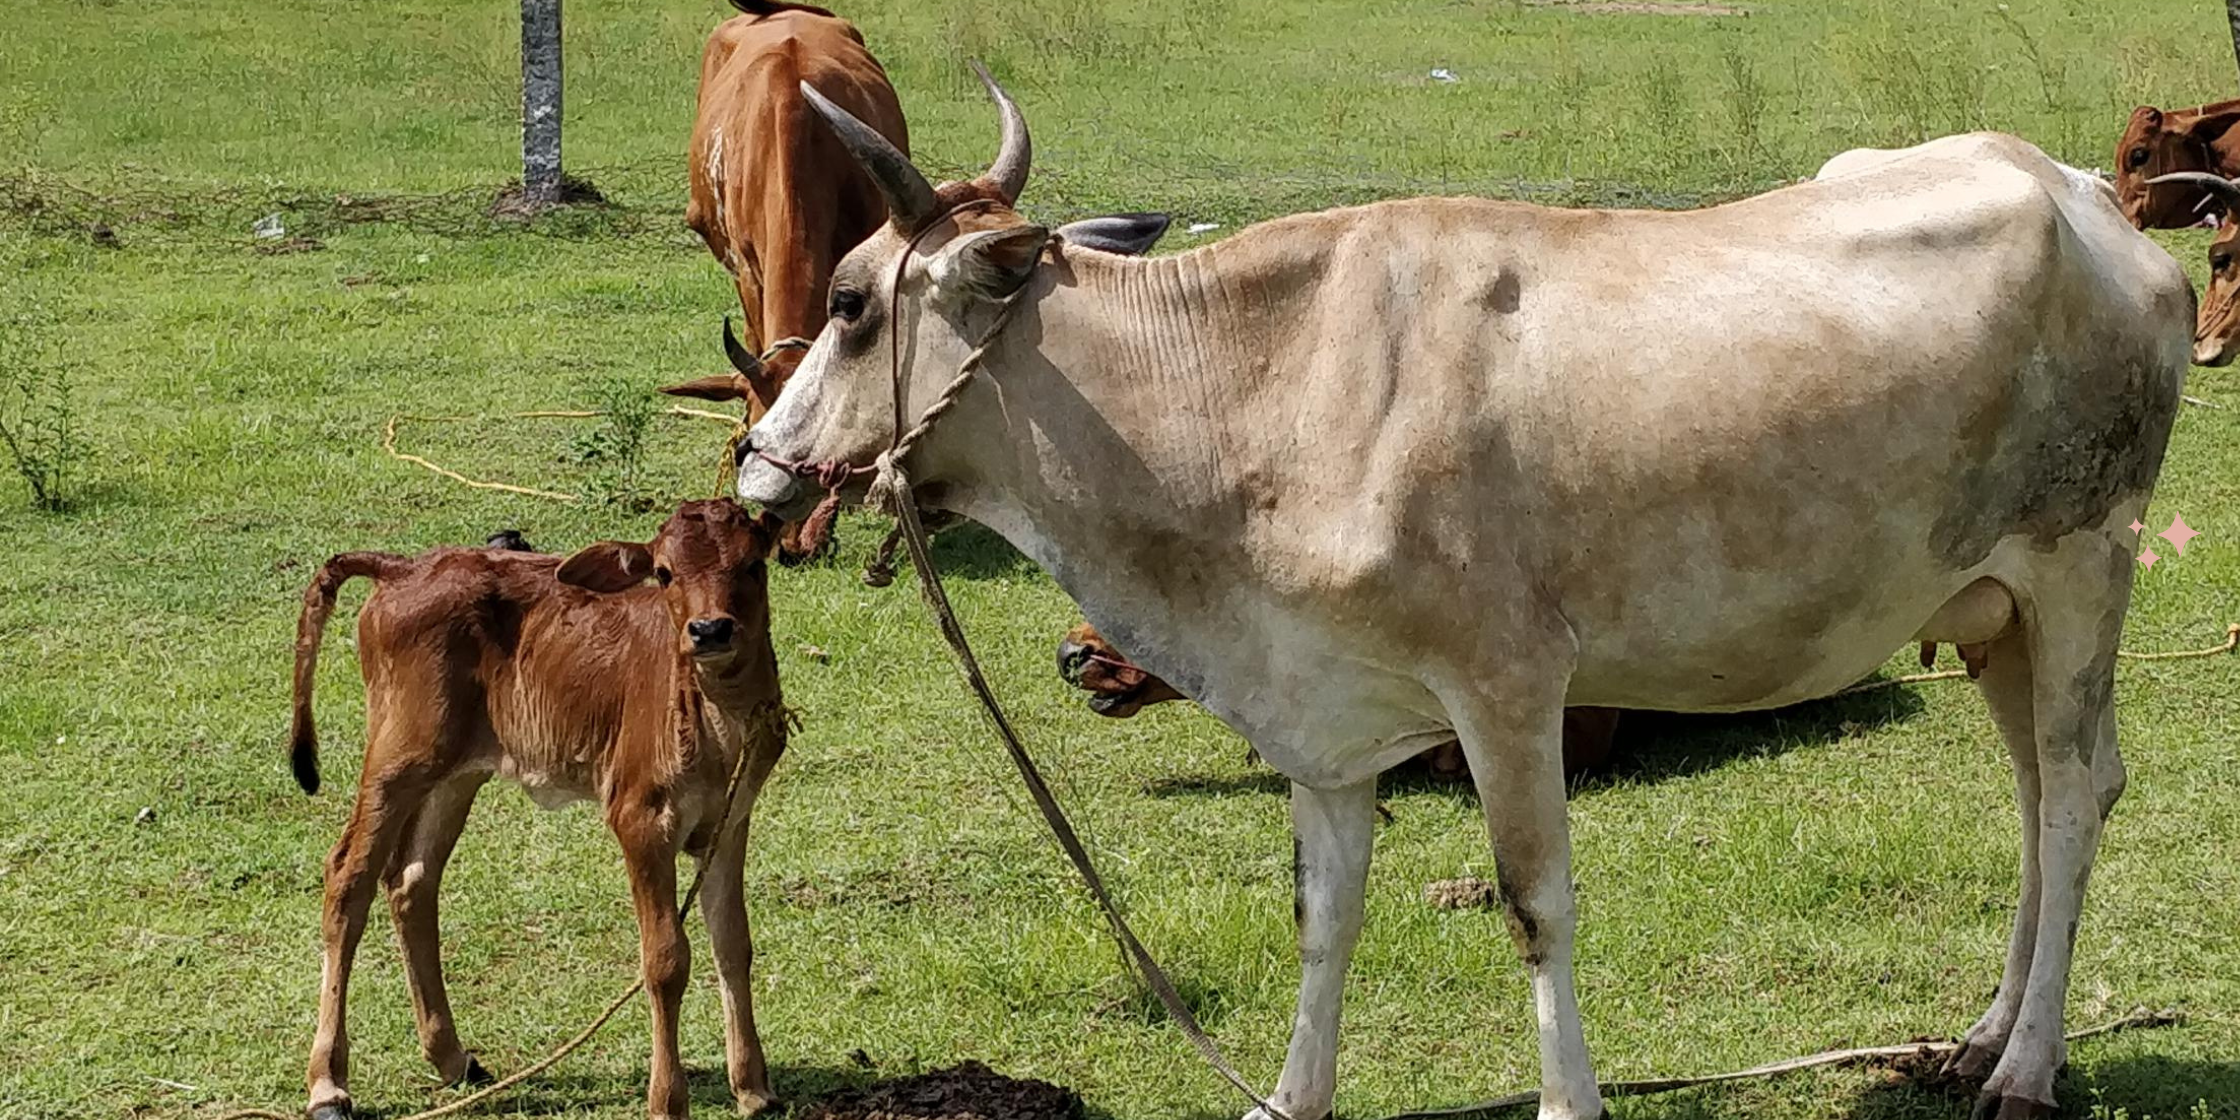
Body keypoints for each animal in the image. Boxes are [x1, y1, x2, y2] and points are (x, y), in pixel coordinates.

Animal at [288, 501, 786, 1120]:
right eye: (665, 573)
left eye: (753, 565)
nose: (710, 630)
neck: (719, 723)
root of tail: (403, 568)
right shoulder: (639, 817)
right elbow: (666, 960)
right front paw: (668, 1100)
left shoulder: (730, 821)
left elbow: (733, 943)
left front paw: (754, 1088)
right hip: (397, 755)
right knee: (348, 878)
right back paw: (328, 1083)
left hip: (457, 772)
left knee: (411, 880)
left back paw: (453, 1058)